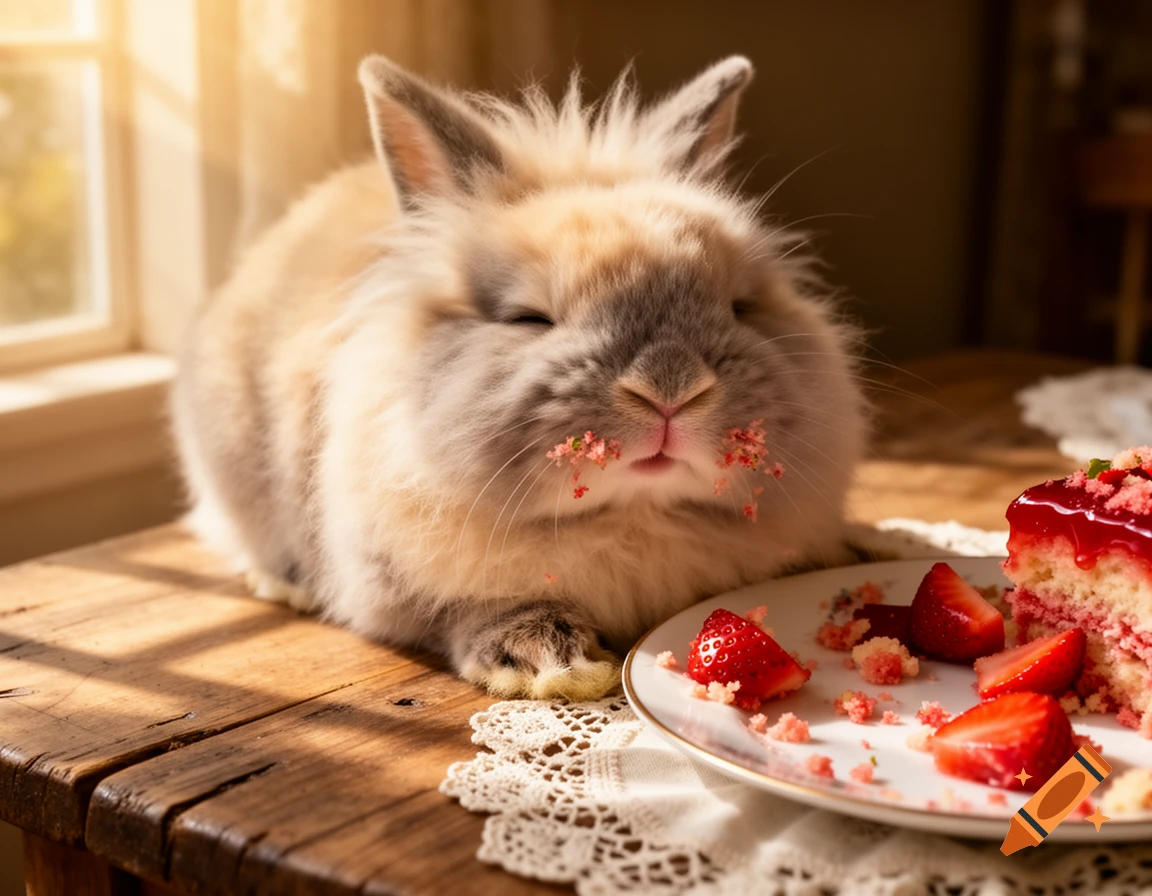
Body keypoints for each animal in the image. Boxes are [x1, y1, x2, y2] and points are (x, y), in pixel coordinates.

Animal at [171, 53, 867, 701]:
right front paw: (551, 661)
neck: (635, 519)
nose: (670, 387)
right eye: (530, 319)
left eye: (740, 306)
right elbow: (462, 609)